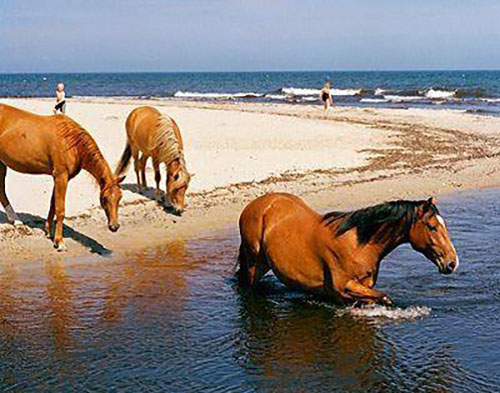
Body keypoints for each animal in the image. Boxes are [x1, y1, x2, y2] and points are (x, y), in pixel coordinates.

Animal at [0, 103, 123, 251]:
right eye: (104, 198)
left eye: (119, 198)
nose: (114, 226)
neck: (71, 143)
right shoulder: (61, 176)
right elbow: (60, 209)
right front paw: (60, 242)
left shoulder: (60, 177)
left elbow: (53, 204)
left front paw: (49, 231)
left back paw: (16, 220)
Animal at [236, 193, 458, 306]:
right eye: (432, 226)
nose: (452, 263)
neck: (359, 244)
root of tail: (257, 205)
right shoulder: (344, 286)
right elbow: (385, 298)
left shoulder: (364, 286)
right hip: (254, 263)